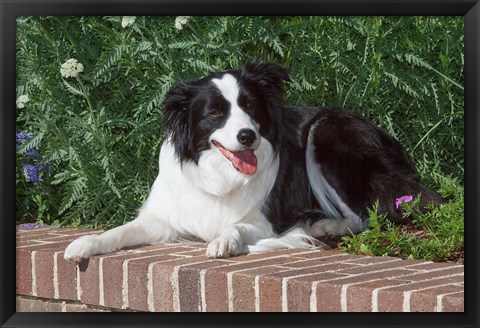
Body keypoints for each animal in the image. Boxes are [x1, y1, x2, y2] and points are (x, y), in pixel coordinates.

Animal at [64, 59, 442, 262]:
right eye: (215, 113)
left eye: (250, 106)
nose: (247, 136)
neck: (218, 174)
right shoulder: (164, 218)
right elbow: (118, 231)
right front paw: (86, 243)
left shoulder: (265, 220)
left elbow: (234, 225)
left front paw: (224, 241)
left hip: (326, 132)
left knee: (364, 216)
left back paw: (323, 225)